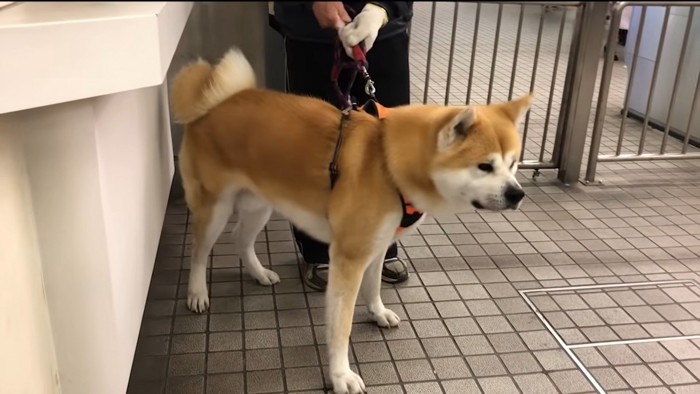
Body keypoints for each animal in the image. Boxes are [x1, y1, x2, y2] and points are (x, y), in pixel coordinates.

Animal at [171, 47, 532, 392]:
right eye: (485, 166)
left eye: (514, 163)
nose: (518, 194)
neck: (388, 164)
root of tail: (215, 103)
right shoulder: (349, 258)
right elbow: (340, 328)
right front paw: (341, 375)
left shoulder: (377, 245)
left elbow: (373, 287)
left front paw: (377, 313)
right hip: (215, 208)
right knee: (199, 251)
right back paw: (197, 293)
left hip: (260, 204)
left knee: (240, 239)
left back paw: (259, 273)